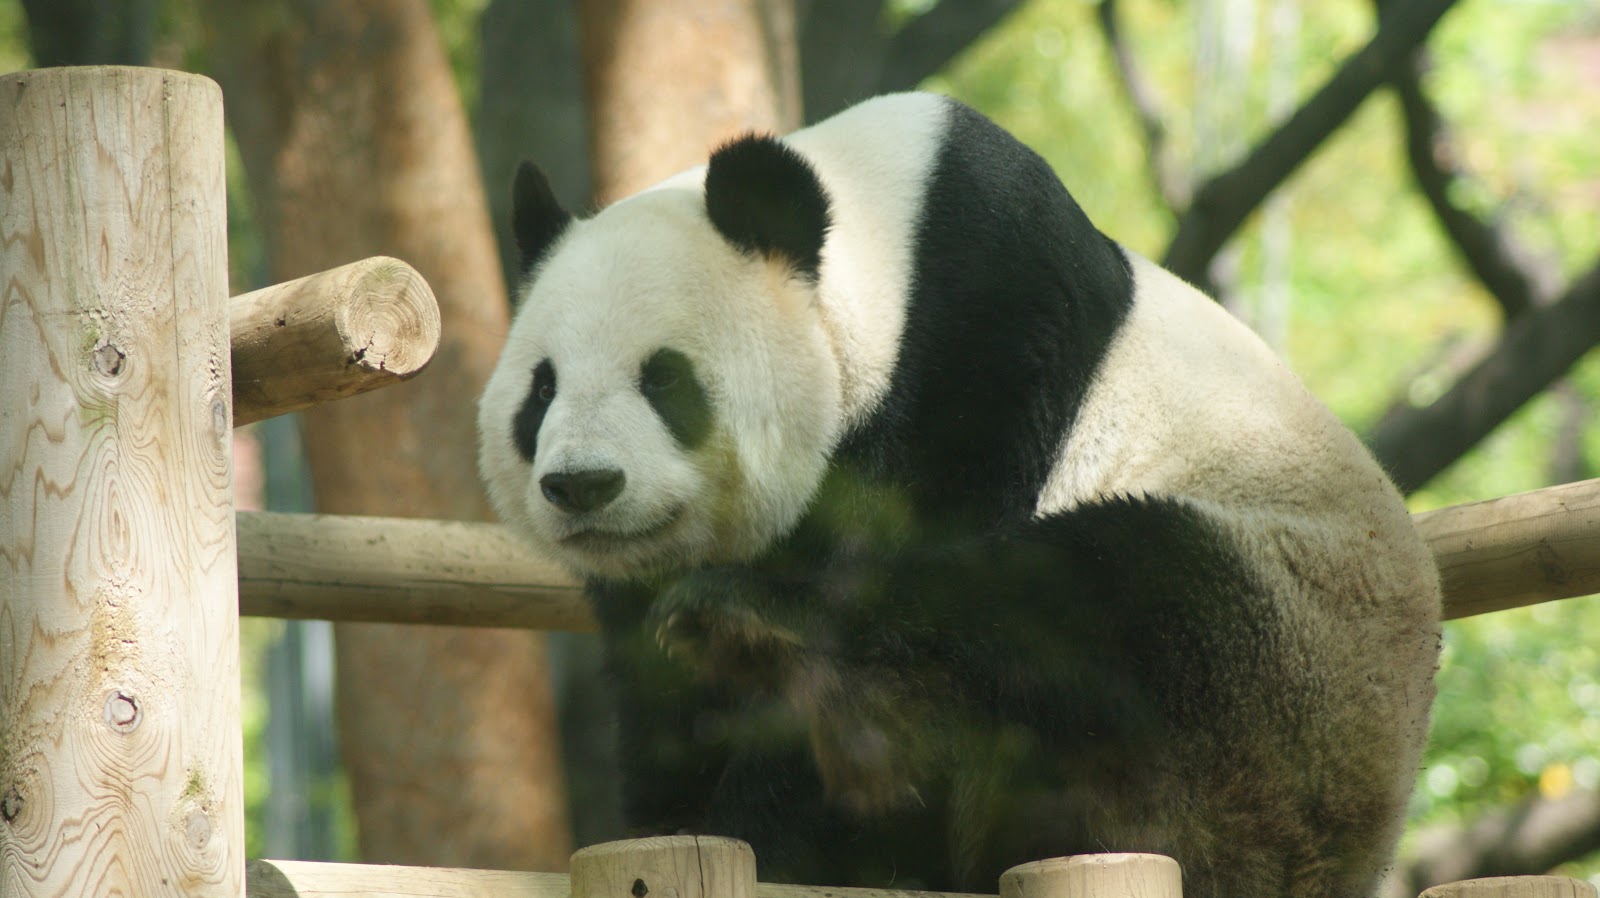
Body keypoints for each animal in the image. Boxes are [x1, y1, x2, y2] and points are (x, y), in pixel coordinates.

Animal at [480, 92, 1446, 896]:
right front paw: (674, 811)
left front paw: (768, 823)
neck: (878, 244)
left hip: (1280, 666)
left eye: (665, 379)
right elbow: (662, 703)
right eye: (541, 388)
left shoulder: (980, 348)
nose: (583, 485)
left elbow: (889, 571)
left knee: (1073, 609)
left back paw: (751, 629)